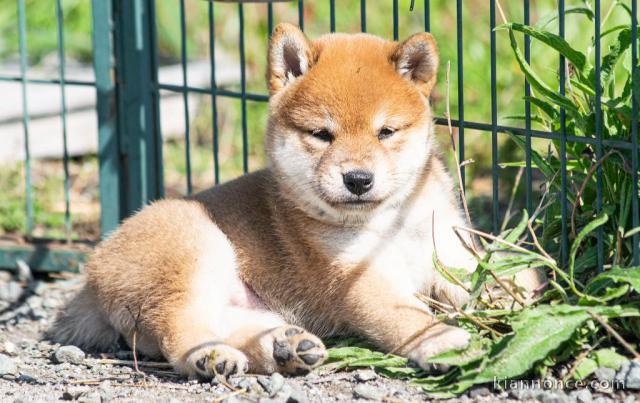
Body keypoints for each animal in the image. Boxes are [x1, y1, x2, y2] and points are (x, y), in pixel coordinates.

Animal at [48, 24, 540, 378]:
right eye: (322, 134)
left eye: (385, 132)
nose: (357, 179)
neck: (389, 222)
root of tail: (92, 272)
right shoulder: (353, 276)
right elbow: (400, 312)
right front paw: (437, 339)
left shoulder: (449, 249)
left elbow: (492, 274)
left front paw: (527, 291)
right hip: (189, 247)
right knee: (178, 326)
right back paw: (210, 357)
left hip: (239, 296)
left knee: (222, 318)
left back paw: (285, 347)